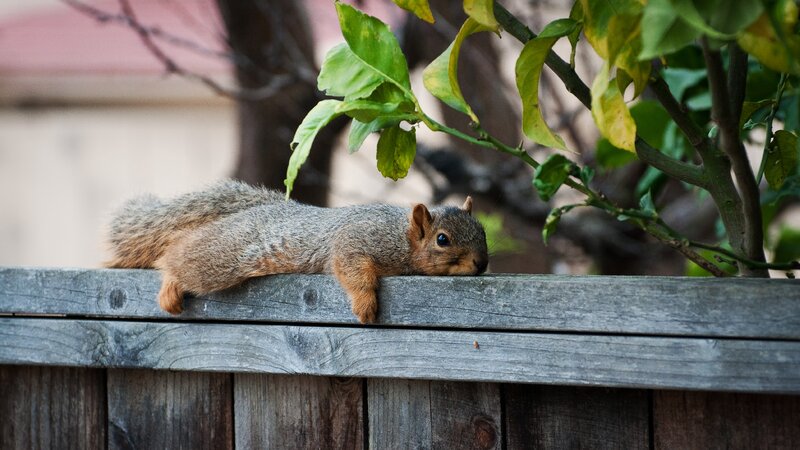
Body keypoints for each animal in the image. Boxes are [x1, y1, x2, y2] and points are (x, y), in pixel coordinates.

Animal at [105, 180, 489, 323]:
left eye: (483, 232)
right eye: (442, 240)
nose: (481, 264)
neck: (403, 236)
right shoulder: (357, 240)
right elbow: (351, 268)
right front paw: (365, 305)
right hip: (223, 258)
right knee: (178, 255)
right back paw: (170, 282)